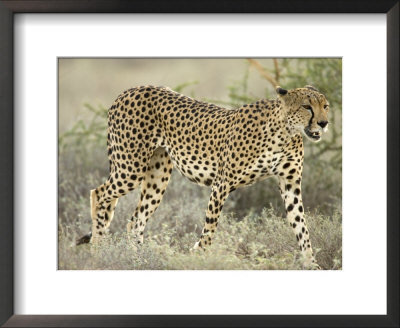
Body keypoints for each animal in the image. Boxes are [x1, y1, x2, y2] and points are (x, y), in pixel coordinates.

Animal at [76, 84, 330, 270]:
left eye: (325, 106)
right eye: (307, 106)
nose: (324, 123)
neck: (285, 132)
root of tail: (129, 90)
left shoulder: (290, 184)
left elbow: (301, 227)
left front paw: (312, 265)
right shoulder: (222, 184)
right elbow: (209, 230)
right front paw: (199, 257)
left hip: (157, 175)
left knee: (135, 219)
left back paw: (138, 260)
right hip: (131, 168)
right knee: (99, 193)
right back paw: (98, 251)